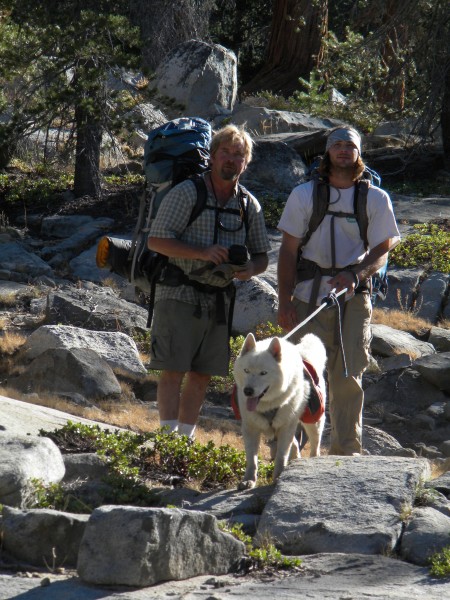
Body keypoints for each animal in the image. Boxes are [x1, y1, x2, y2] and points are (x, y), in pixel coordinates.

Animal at [232, 330, 326, 490]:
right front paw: (249, 480)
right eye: (246, 370)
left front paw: (277, 478)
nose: (248, 391)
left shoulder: (286, 427)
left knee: (315, 446)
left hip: (312, 423)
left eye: (263, 373)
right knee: (295, 445)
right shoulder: (250, 428)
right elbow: (252, 459)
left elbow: (281, 456)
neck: (268, 404)